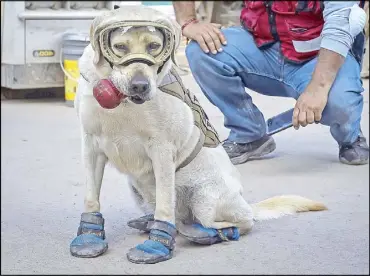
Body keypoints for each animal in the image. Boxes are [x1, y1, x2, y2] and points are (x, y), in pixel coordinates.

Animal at [70, 5, 326, 266]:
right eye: (120, 47)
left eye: (154, 46)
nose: (140, 86)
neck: (123, 104)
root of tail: (245, 203)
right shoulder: (90, 145)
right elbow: (91, 197)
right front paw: (90, 235)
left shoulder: (162, 150)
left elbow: (165, 206)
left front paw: (157, 244)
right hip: (137, 187)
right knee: (173, 215)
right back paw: (151, 222)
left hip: (205, 199)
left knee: (238, 223)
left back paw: (210, 232)